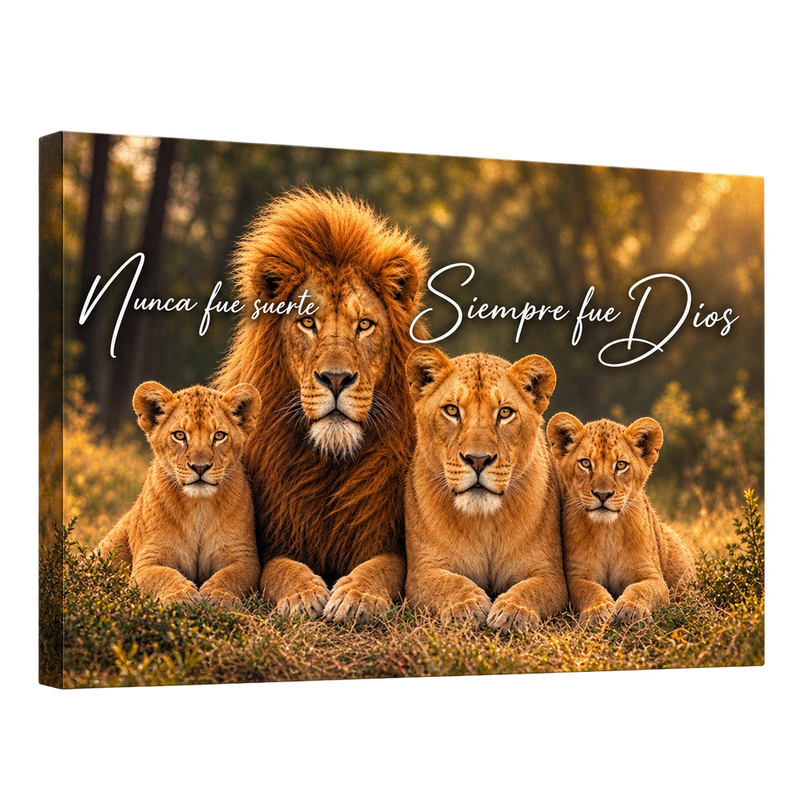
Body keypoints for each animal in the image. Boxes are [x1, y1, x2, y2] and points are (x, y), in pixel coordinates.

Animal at [96, 381, 262, 608]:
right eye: (180, 435)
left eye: (219, 435)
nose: (200, 467)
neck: (199, 506)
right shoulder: (147, 560)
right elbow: (163, 575)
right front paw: (181, 596)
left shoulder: (244, 558)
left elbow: (230, 576)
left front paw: (219, 597)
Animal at [213, 188, 429, 624]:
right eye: (308, 323)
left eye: (364, 325)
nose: (336, 378)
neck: (330, 462)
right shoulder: (276, 537)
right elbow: (280, 569)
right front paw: (302, 594)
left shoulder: (387, 538)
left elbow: (383, 567)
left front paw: (357, 596)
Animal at [403, 347, 569, 632]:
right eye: (451, 410)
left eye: (505, 413)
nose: (478, 460)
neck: (485, 522)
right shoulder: (421, 572)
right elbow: (449, 583)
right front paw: (466, 605)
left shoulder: (551, 575)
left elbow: (531, 589)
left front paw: (514, 611)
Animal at [546, 413, 696, 626]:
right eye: (585, 463)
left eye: (621, 465)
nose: (602, 494)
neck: (608, 530)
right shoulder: (577, 576)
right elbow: (591, 590)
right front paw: (599, 610)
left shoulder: (653, 576)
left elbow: (641, 589)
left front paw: (631, 609)